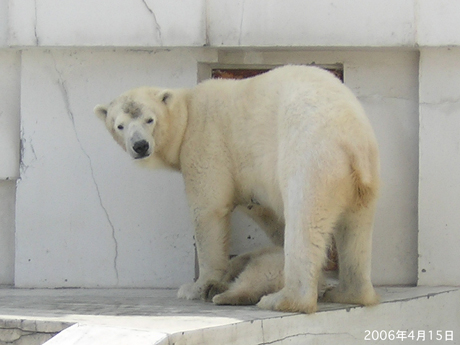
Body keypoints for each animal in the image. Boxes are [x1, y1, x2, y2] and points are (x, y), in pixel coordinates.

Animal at [95, 63, 380, 312]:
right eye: (120, 125)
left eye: (149, 120)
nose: (140, 145)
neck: (188, 110)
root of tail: (352, 138)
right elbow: (266, 214)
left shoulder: (205, 142)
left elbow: (208, 210)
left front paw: (195, 287)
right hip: (362, 175)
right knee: (355, 227)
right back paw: (347, 292)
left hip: (311, 154)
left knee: (305, 219)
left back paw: (282, 299)